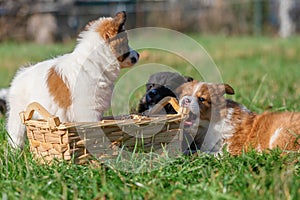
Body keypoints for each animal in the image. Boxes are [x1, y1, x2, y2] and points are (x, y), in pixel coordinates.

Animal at [6, 11, 138, 148]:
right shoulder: (88, 110)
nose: (138, 55)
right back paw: (16, 151)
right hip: (17, 115)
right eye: (126, 43)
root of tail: (20, 75)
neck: (95, 62)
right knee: (15, 134)